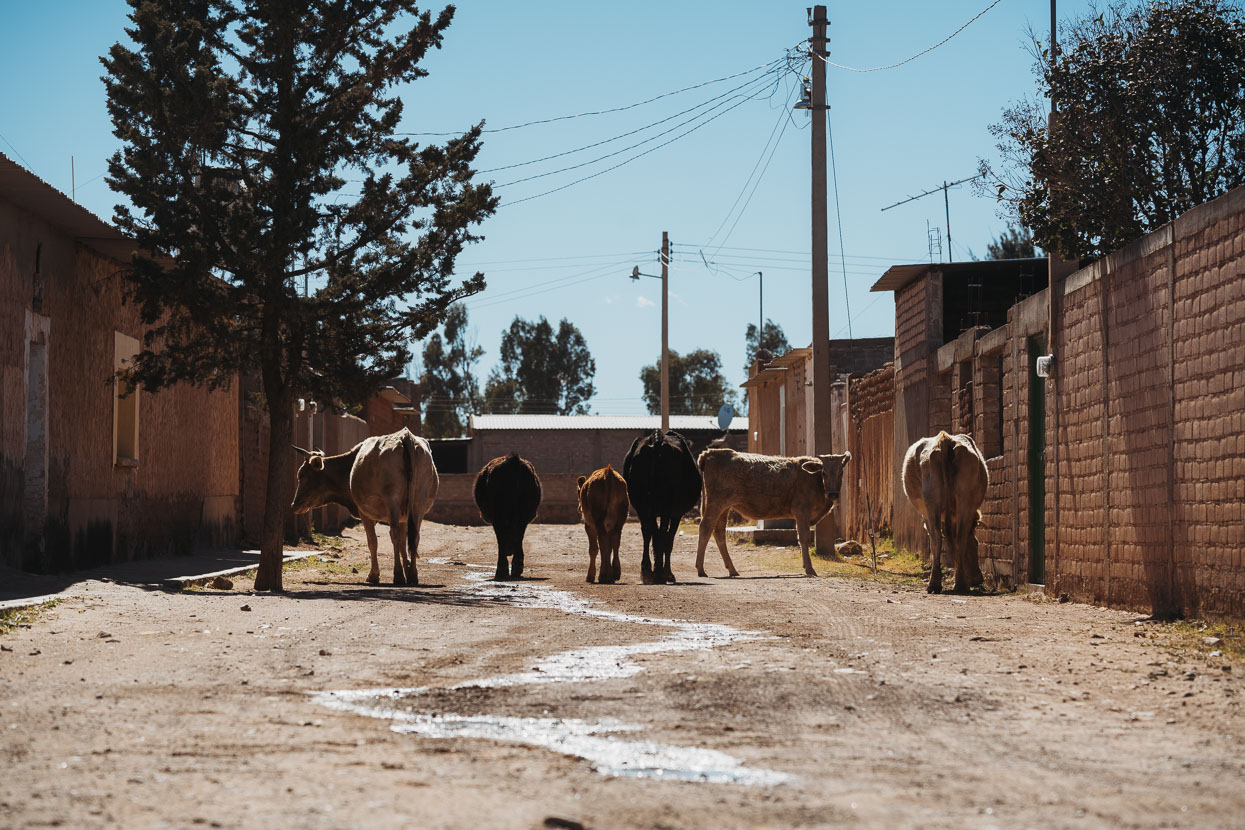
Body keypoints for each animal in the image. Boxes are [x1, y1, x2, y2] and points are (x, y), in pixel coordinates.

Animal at [291, 428, 438, 584]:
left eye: (301, 475)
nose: (294, 505)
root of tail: (405, 436)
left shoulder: (364, 512)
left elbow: (372, 541)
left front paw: (374, 574)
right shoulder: (403, 516)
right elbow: (404, 544)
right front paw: (408, 568)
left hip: (393, 501)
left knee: (394, 535)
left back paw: (398, 575)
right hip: (418, 502)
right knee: (414, 536)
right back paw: (413, 575)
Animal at [470, 450, 540, 582]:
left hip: (499, 514)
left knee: (503, 538)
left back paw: (502, 570)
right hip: (522, 513)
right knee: (518, 537)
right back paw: (515, 567)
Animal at [622, 433, 702, 587]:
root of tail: (657, 440)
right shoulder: (676, 513)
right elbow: (668, 539)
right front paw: (668, 573)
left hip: (642, 505)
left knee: (648, 532)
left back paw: (648, 571)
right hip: (665, 507)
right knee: (662, 534)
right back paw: (660, 573)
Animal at [697, 447, 851, 577]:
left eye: (841, 472)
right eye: (823, 472)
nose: (833, 494)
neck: (814, 481)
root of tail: (712, 452)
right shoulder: (802, 512)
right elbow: (803, 538)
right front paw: (809, 568)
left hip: (724, 508)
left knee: (719, 532)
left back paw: (732, 569)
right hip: (716, 503)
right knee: (705, 528)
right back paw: (701, 569)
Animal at [901, 433, 986, 594]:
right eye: (976, 545)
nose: (979, 579)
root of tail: (945, 439)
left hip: (933, 503)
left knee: (937, 539)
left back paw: (938, 583)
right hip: (963, 500)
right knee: (956, 538)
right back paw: (957, 584)